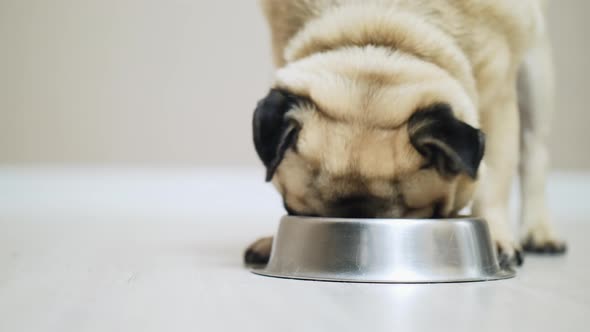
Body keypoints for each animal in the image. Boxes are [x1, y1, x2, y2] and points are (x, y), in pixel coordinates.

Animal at [246, 0, 568, 268]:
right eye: (291, 210)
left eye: (431, 214)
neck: (382, 33)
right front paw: (272, 243)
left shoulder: (498, 98)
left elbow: (494, 181)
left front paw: (497, 238)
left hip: (536, 69)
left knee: (534, 151)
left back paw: (540, 232)